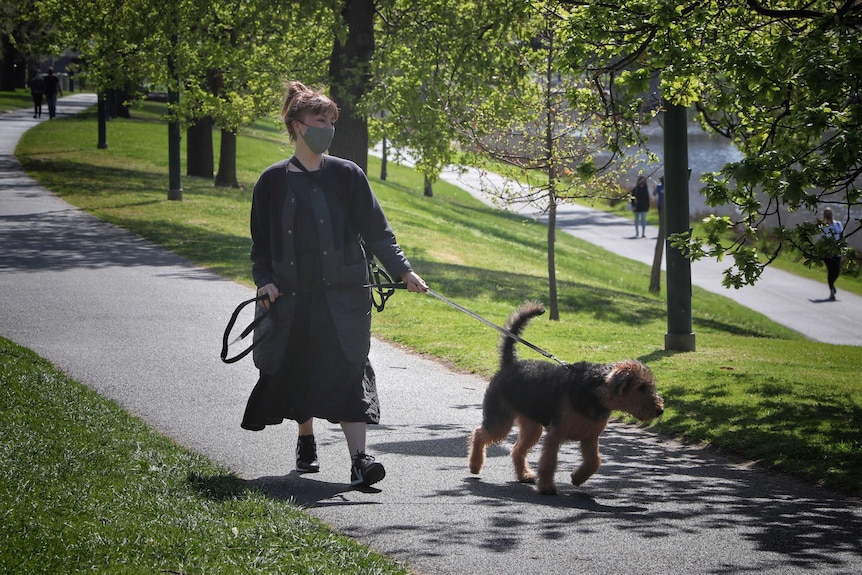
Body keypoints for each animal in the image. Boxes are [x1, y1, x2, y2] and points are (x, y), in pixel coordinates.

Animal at [470, 302, 664, 496]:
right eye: (641, 387)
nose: (660, 410)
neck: (595, 394)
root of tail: (510, 364)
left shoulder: (590, 437)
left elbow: (594, 462)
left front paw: (577, 478)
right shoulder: (555, 435)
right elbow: (549, 463)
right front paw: (547, 486)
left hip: (532, 426)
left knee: (517, 449)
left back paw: (524, 475)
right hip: (500, 421)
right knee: (479, 434)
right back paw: (474, 465)